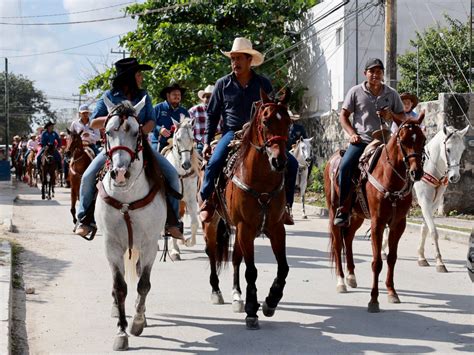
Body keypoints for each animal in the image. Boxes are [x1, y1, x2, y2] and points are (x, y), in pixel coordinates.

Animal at [94, 96, 167, 350]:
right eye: (108, 132)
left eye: (137, 132)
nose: (120, 173)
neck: (127, 197)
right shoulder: (111, 245)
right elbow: (119, 287)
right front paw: (121, 332)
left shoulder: (149, 245)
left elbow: (143, 284)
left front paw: (136, 322)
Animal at [163, 117, 200, 262]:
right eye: (178, 139)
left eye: (192, 138)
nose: (186, 164)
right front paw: (174, 251)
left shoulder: (190, 200)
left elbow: (194, 223)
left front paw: (187, 241)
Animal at [201, 89, 292, 330]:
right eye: (266, 121)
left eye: (288, 122)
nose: (279, 161)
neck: (261, 181)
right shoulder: (246, 228)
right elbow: (251, 270)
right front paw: (253, 310)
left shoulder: (276, 228)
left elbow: (283, 267)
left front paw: (270, 301)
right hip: (212, 223)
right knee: (212, 253)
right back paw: (216, 291)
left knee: (235, 259)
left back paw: (237, 296)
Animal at [324, 112, 428, 312]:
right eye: (403, 140)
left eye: (423, 139)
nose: (416, 172)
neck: (390, 177)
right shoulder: (377, 223)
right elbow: (376, 262)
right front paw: (373, 299)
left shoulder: (398, 224)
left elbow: (392, 258)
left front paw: (392, 292)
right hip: (334, 212)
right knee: (338, 243)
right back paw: (341, 281)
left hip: (356, 215)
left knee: (348, 238)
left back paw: (351, 276)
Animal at [384, 125, 468, 272]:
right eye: (448, 149)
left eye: (462, 149)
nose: (455, 177)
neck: (430, 168)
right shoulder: (424, 202)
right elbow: (433, 231)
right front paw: (440, 262)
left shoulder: (433, 204)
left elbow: (425, 228)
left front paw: (421, 257)